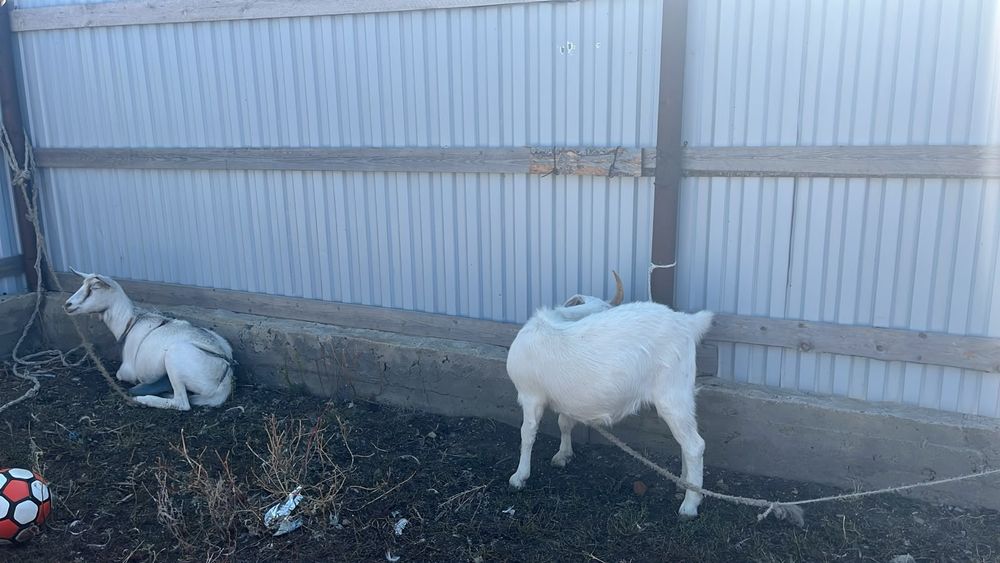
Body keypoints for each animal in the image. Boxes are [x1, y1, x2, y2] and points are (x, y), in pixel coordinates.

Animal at [63, 269, 234, 410]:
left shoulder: (128, 370)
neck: (130, 322)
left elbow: (120, 375)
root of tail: (226, 374)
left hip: (174, 356)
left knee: (182, 403)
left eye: (94, 288)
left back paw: (144, 398)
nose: (67, 304)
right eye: (83, 284)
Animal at [505, 274, 714, 518]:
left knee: (695, 445)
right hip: (682, 394)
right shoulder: (567, 399)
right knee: (685, 440)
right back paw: (683, 482)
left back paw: (690, 504)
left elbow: (527, 434)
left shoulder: (530, 395)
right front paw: (563, 455)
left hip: (671, 393)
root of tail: (686, 323)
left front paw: (519, 477)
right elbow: (564, 423)